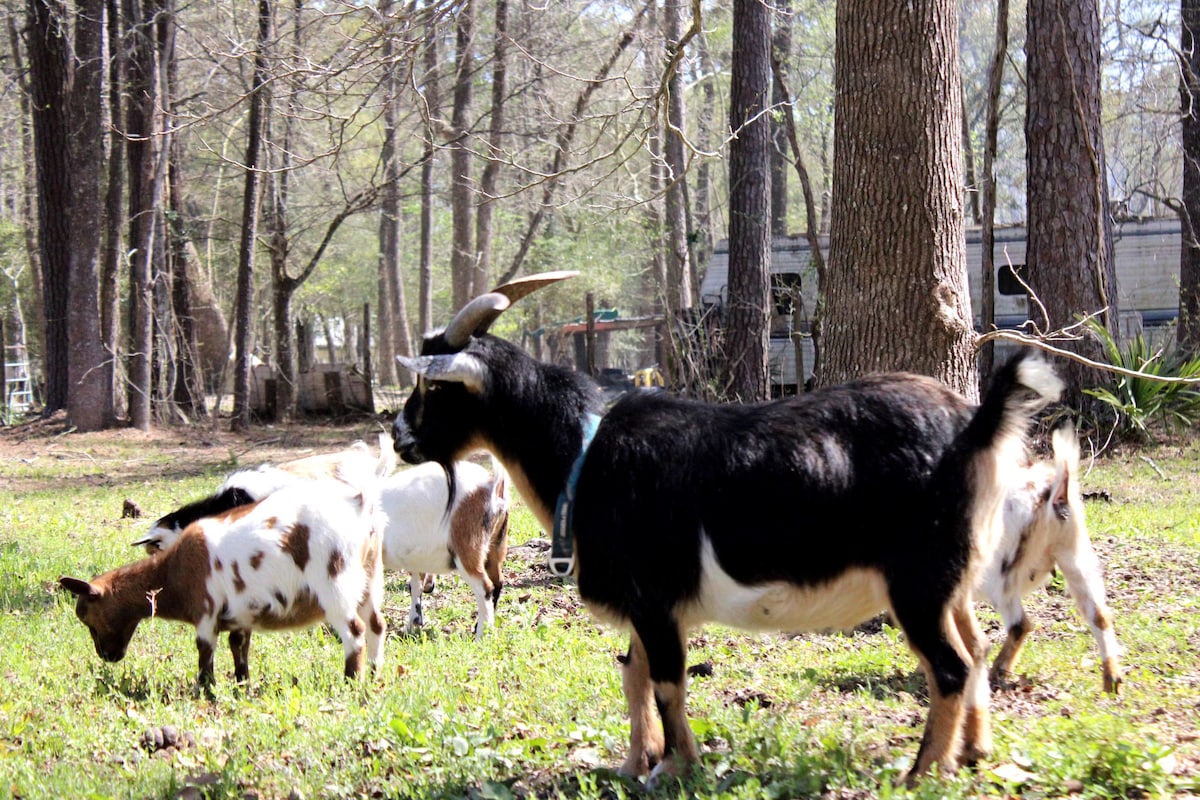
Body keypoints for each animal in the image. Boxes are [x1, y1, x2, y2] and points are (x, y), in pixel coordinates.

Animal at [59, 474, 384, 690]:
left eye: (86, 616)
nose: (107, 656)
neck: (172, 572)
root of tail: (358, 506)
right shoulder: (241, 614)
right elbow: (238, 647)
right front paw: (241, 686)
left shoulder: (206, 610)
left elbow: (205, 651)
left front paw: (204, 690)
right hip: (369, 581)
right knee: (376, 626)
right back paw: (374, 675)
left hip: (335, 585)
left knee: (354, 632)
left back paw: (350, 683)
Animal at [391, 272, 1060, 786]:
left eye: (434, 384)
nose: (398, 437)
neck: (584, 455)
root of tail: (973, 424)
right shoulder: (646, 606)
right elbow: (633, 675)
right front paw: (634, 764)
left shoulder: (655, 598)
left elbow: (666, 682)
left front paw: (675, 767)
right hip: (951, 577)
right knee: (974, 651)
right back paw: (972, 751)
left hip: (917, 581)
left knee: (949, 668)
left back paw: (920, 774)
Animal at [984, 424, 1123, 695]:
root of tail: (1054, 492)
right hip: (1076, 559)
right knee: (1099, 615)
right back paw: (1112, 681)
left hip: (1000, 579)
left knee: (1020, 625)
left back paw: (996, 672)